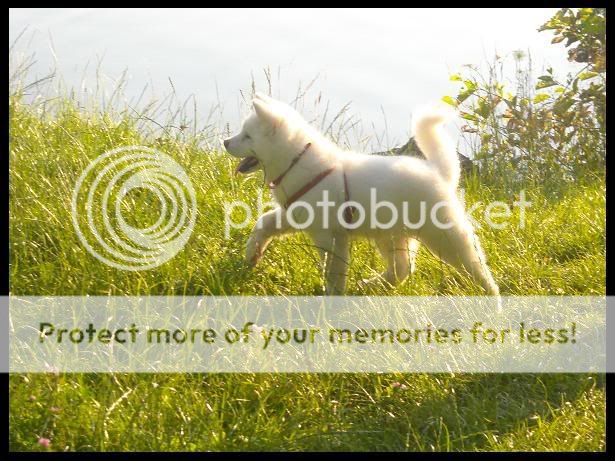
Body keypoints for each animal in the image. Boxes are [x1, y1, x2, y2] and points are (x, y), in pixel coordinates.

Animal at [223, 93, 499, 297]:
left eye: (247, 136)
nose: (225, 141)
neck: (296, 160)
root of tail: (439, 172)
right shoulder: (296, 214)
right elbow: (263, 224)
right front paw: (251, 256)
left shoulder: (327, 235)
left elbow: (332, 268)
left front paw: (330, 296)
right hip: (392, 236)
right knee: (402, 269)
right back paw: (369, 284)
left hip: (445, 237)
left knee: (477, 267)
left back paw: (492, 299)